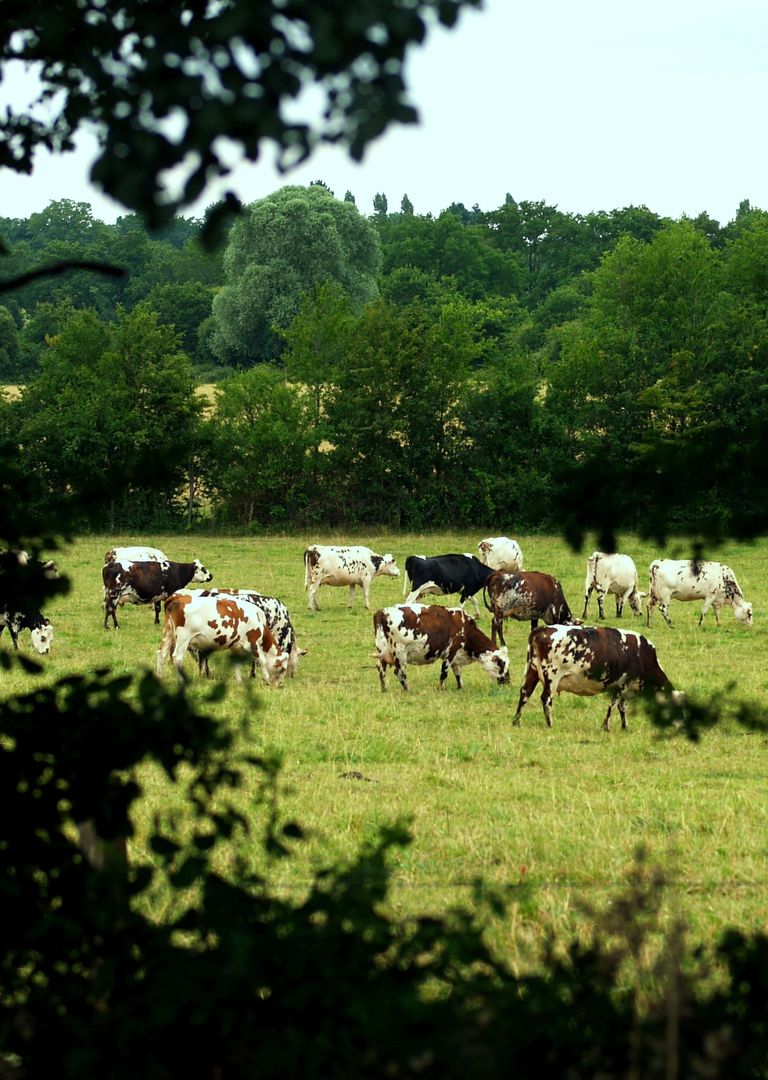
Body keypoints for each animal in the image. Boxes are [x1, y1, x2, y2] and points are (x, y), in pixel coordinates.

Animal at [156, 587, 289, 686]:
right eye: (282, 669)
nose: (280, 685)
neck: (259, 619)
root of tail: (176, 597)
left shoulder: (236, 646)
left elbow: (237, 664)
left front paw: (239, 681)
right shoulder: (253, 642)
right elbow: (262, 660)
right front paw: (266, 679)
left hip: (168, 634)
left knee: (161, 654)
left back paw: (159, 677)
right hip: (183, 638)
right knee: (177, 658)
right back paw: (182, 681)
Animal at [373, 600, 509, 691]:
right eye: (502, 664)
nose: (507, 681)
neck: (466, 627)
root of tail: (383, 612)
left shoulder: (456, 656)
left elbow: (457, 672)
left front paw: (460, 687)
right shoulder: (450, 652)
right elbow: (444, 672)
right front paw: (441, 688)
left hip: (382, 652)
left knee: (381, 669)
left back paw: (384, 689)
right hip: (400, 653)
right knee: (399, 672)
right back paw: (408, 690)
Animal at [514, 626, 682, 734]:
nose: (680, 726)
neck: (642, 654)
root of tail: (541, 630)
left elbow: (622, 707)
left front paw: (625, 727)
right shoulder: (623, 684)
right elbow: (613, 705)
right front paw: (606, 727)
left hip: (532, 671)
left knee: (524, 693)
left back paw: (516, 722)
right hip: (552, 676)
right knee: (546, 698)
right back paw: (550, 725)